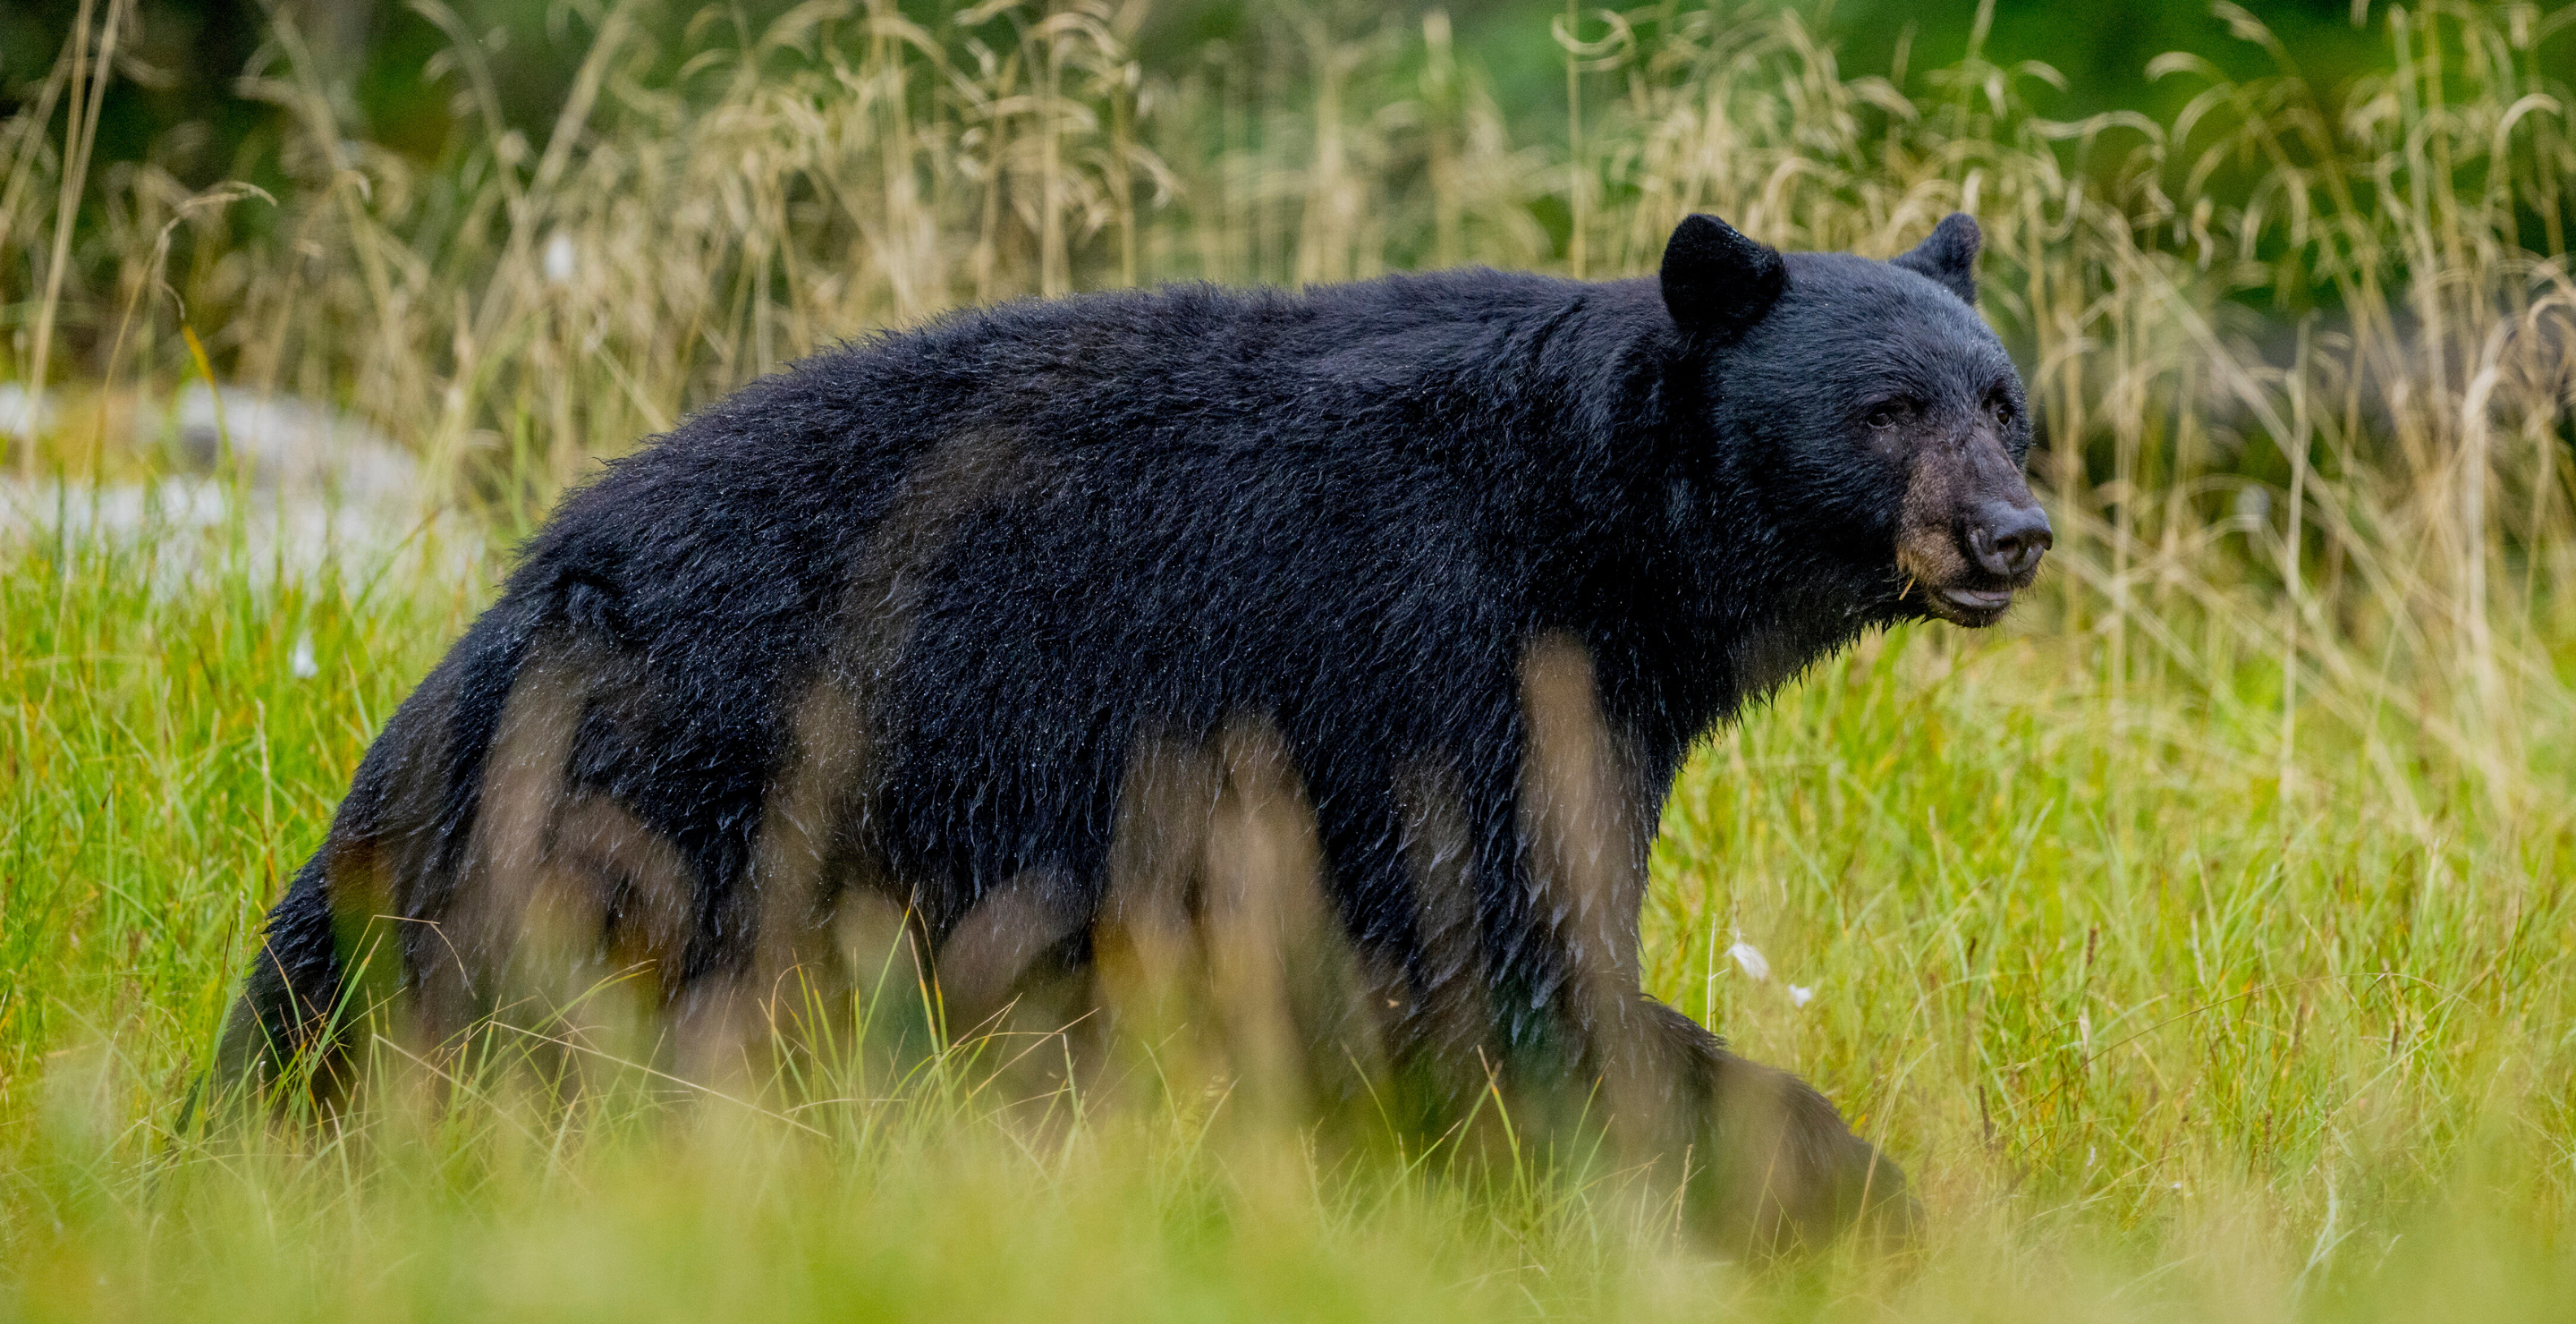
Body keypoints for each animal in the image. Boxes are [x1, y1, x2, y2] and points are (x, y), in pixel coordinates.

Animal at [210, 211, 2049, 1252]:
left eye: (2005, 402)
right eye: (1886, 410)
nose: (2011, 534)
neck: (1604, 542)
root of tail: (521, 603)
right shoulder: (1427, 652)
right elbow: (1485, 957)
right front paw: (1834, 1194)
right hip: (688, 794)